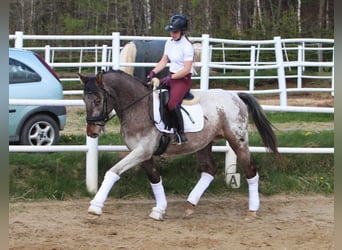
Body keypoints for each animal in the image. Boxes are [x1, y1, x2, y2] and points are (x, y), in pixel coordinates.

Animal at [78, 68, 280, 221]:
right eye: (84, 100)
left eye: (98, 100)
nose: (92, 132)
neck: (138, 107)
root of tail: (234, 95)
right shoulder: (142, 153)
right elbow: (155, 178)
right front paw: (159, 209)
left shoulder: (142, 151)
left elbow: (112, 172)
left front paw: (95, 207)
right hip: (204, 143)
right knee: (209, 170)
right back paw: (190, 205)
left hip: (237, 140)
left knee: (250, 170)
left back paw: (252, 210)